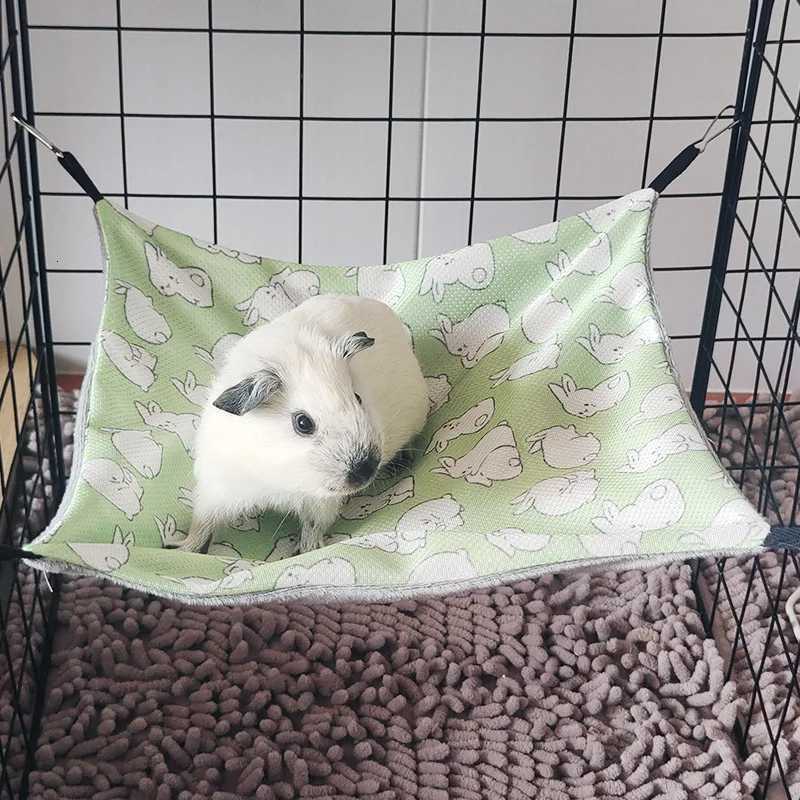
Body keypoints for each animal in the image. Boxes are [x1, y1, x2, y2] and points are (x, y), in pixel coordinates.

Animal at [179, 294, 429, 554]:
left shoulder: (320, 504)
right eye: (302, 423)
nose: (367, 469)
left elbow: (312, 526)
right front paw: (183, 550)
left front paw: (306, 550)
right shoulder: (217, 491)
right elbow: (201, 524)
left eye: (358, 398)